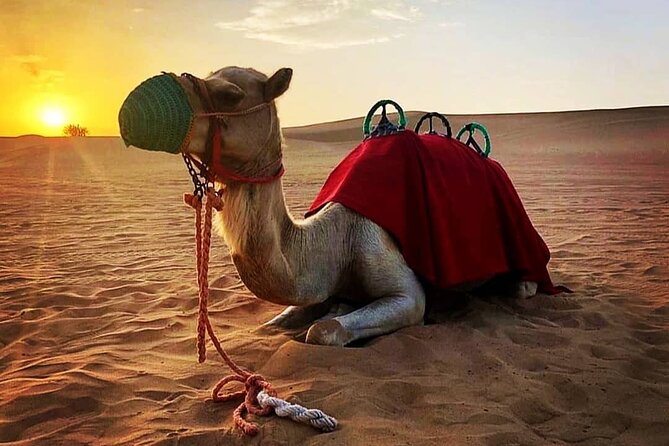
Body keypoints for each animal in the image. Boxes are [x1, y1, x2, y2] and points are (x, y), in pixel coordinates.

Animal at [174, 66, 538, 347]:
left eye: (230, 94)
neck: (335, 240)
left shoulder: (402, 288)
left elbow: (324, 329)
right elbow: (271, 325)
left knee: (524, 283)